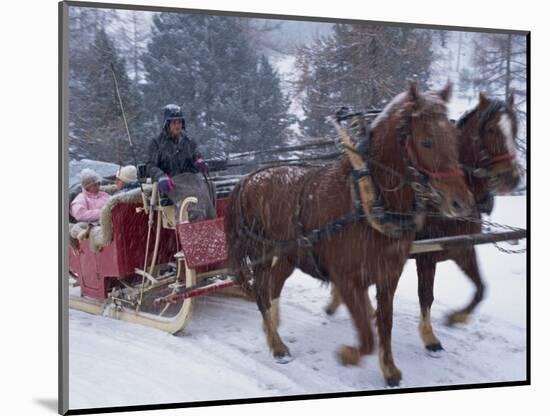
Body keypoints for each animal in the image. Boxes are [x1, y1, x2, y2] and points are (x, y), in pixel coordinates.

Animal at [224, 82, 474, 386]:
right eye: (426, 141)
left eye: (455, 137)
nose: (461, 203)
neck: (368, 200)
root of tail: (247, 179)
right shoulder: (346, 279)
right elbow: (366, 336)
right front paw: (348, 354)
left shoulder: (388, 274)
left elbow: (384, 323)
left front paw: (389, 368)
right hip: (260, 252)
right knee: (261, 293)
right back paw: (277, 344)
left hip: (288, 254)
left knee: (274, 285)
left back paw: (273, 327)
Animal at [326, 93, 524, 352]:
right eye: (491, 129)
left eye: (516, 128)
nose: (512, 178)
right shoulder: (426, 256)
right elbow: (426, 295)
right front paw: (429, 336)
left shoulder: (462, 248)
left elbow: (481, 288)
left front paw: (456, 317)